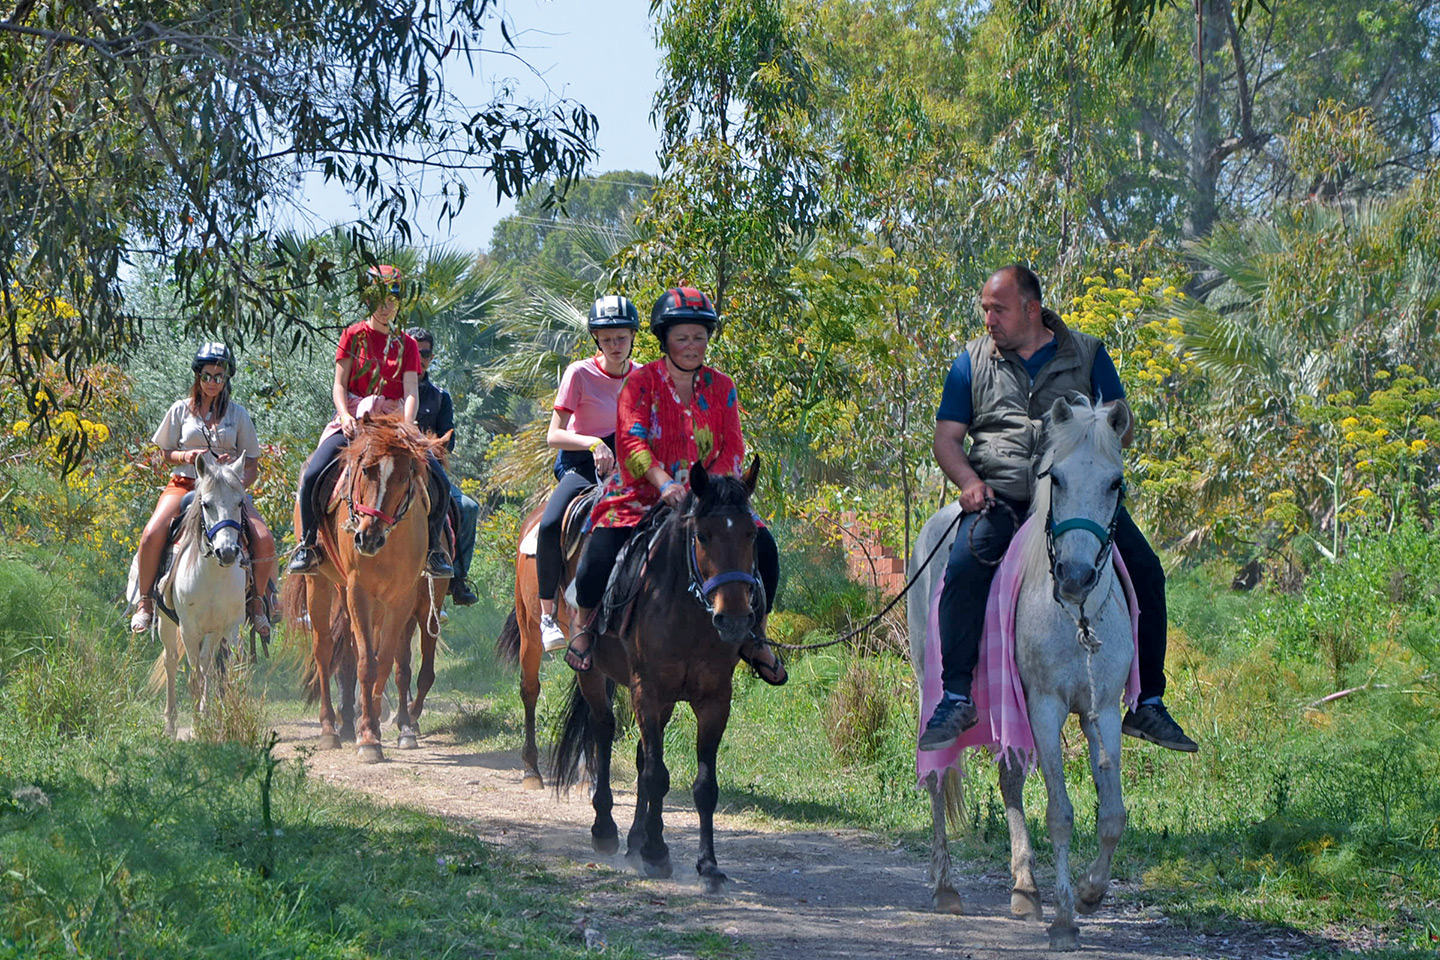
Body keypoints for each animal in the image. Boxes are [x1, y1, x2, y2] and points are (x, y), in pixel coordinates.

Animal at [128, 454, 249, 742]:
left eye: (240, 502)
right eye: (206, 504)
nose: (227, 552)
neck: (214, 575)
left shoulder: (227, 627)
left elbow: (221, 674)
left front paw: (220, 722)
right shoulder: (189, 628)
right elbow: (193, 679)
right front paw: (196, 728)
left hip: (209, 632)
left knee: (205, 667)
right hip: (168, 625)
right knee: (172, 663)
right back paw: (171, 725)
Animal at [286, 414, 449, 765]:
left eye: (406, 476)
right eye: (365, 470)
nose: (367, 538)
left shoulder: (401, 600)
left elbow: (385, 661)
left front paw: (375, 725)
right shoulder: (359, 592)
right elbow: (366, 663)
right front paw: (368, 737)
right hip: (320, 584)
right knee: (323, 651)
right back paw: (330, 729)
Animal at [550, 457, 766, 892]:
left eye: (751, 534)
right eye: (702, 535)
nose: (735, 620)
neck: (687, 609)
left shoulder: (715, 700)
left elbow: (703, 785)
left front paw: (707, 865)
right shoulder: (647, 691)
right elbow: (655, 775)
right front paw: (656, 853)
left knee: (640, 752)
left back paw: (636, 838)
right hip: (594, 675)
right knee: (604, 731)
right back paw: (607, 830)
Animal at [910, 397, 1134, 955]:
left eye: (1114, 483)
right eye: (1057, 478)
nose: (1076, 577)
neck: (1076, 618)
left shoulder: (1102, 710)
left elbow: (1113, 814)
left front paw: (1091, 893)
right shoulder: (1045, 706)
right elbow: (1060, 813)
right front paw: (1065, 920)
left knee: (1009, 780)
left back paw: (1025, 888)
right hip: (932, 689)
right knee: (937, 777)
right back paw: (946, 889)